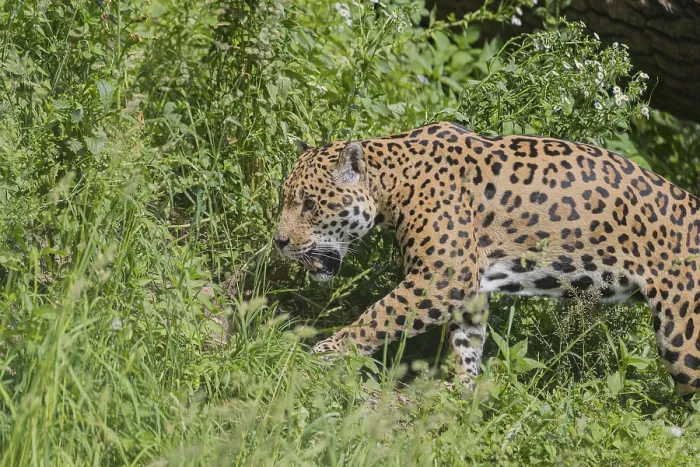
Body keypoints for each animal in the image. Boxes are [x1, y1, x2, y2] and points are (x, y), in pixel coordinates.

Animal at [274, 121, 700, 395]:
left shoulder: (441, 277)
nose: (278, 241)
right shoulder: (468, 286)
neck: (396, 183)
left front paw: (326, 352)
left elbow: (379, 315)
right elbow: (467, 340)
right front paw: (460, 387)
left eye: (309, 204)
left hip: (682, 338)